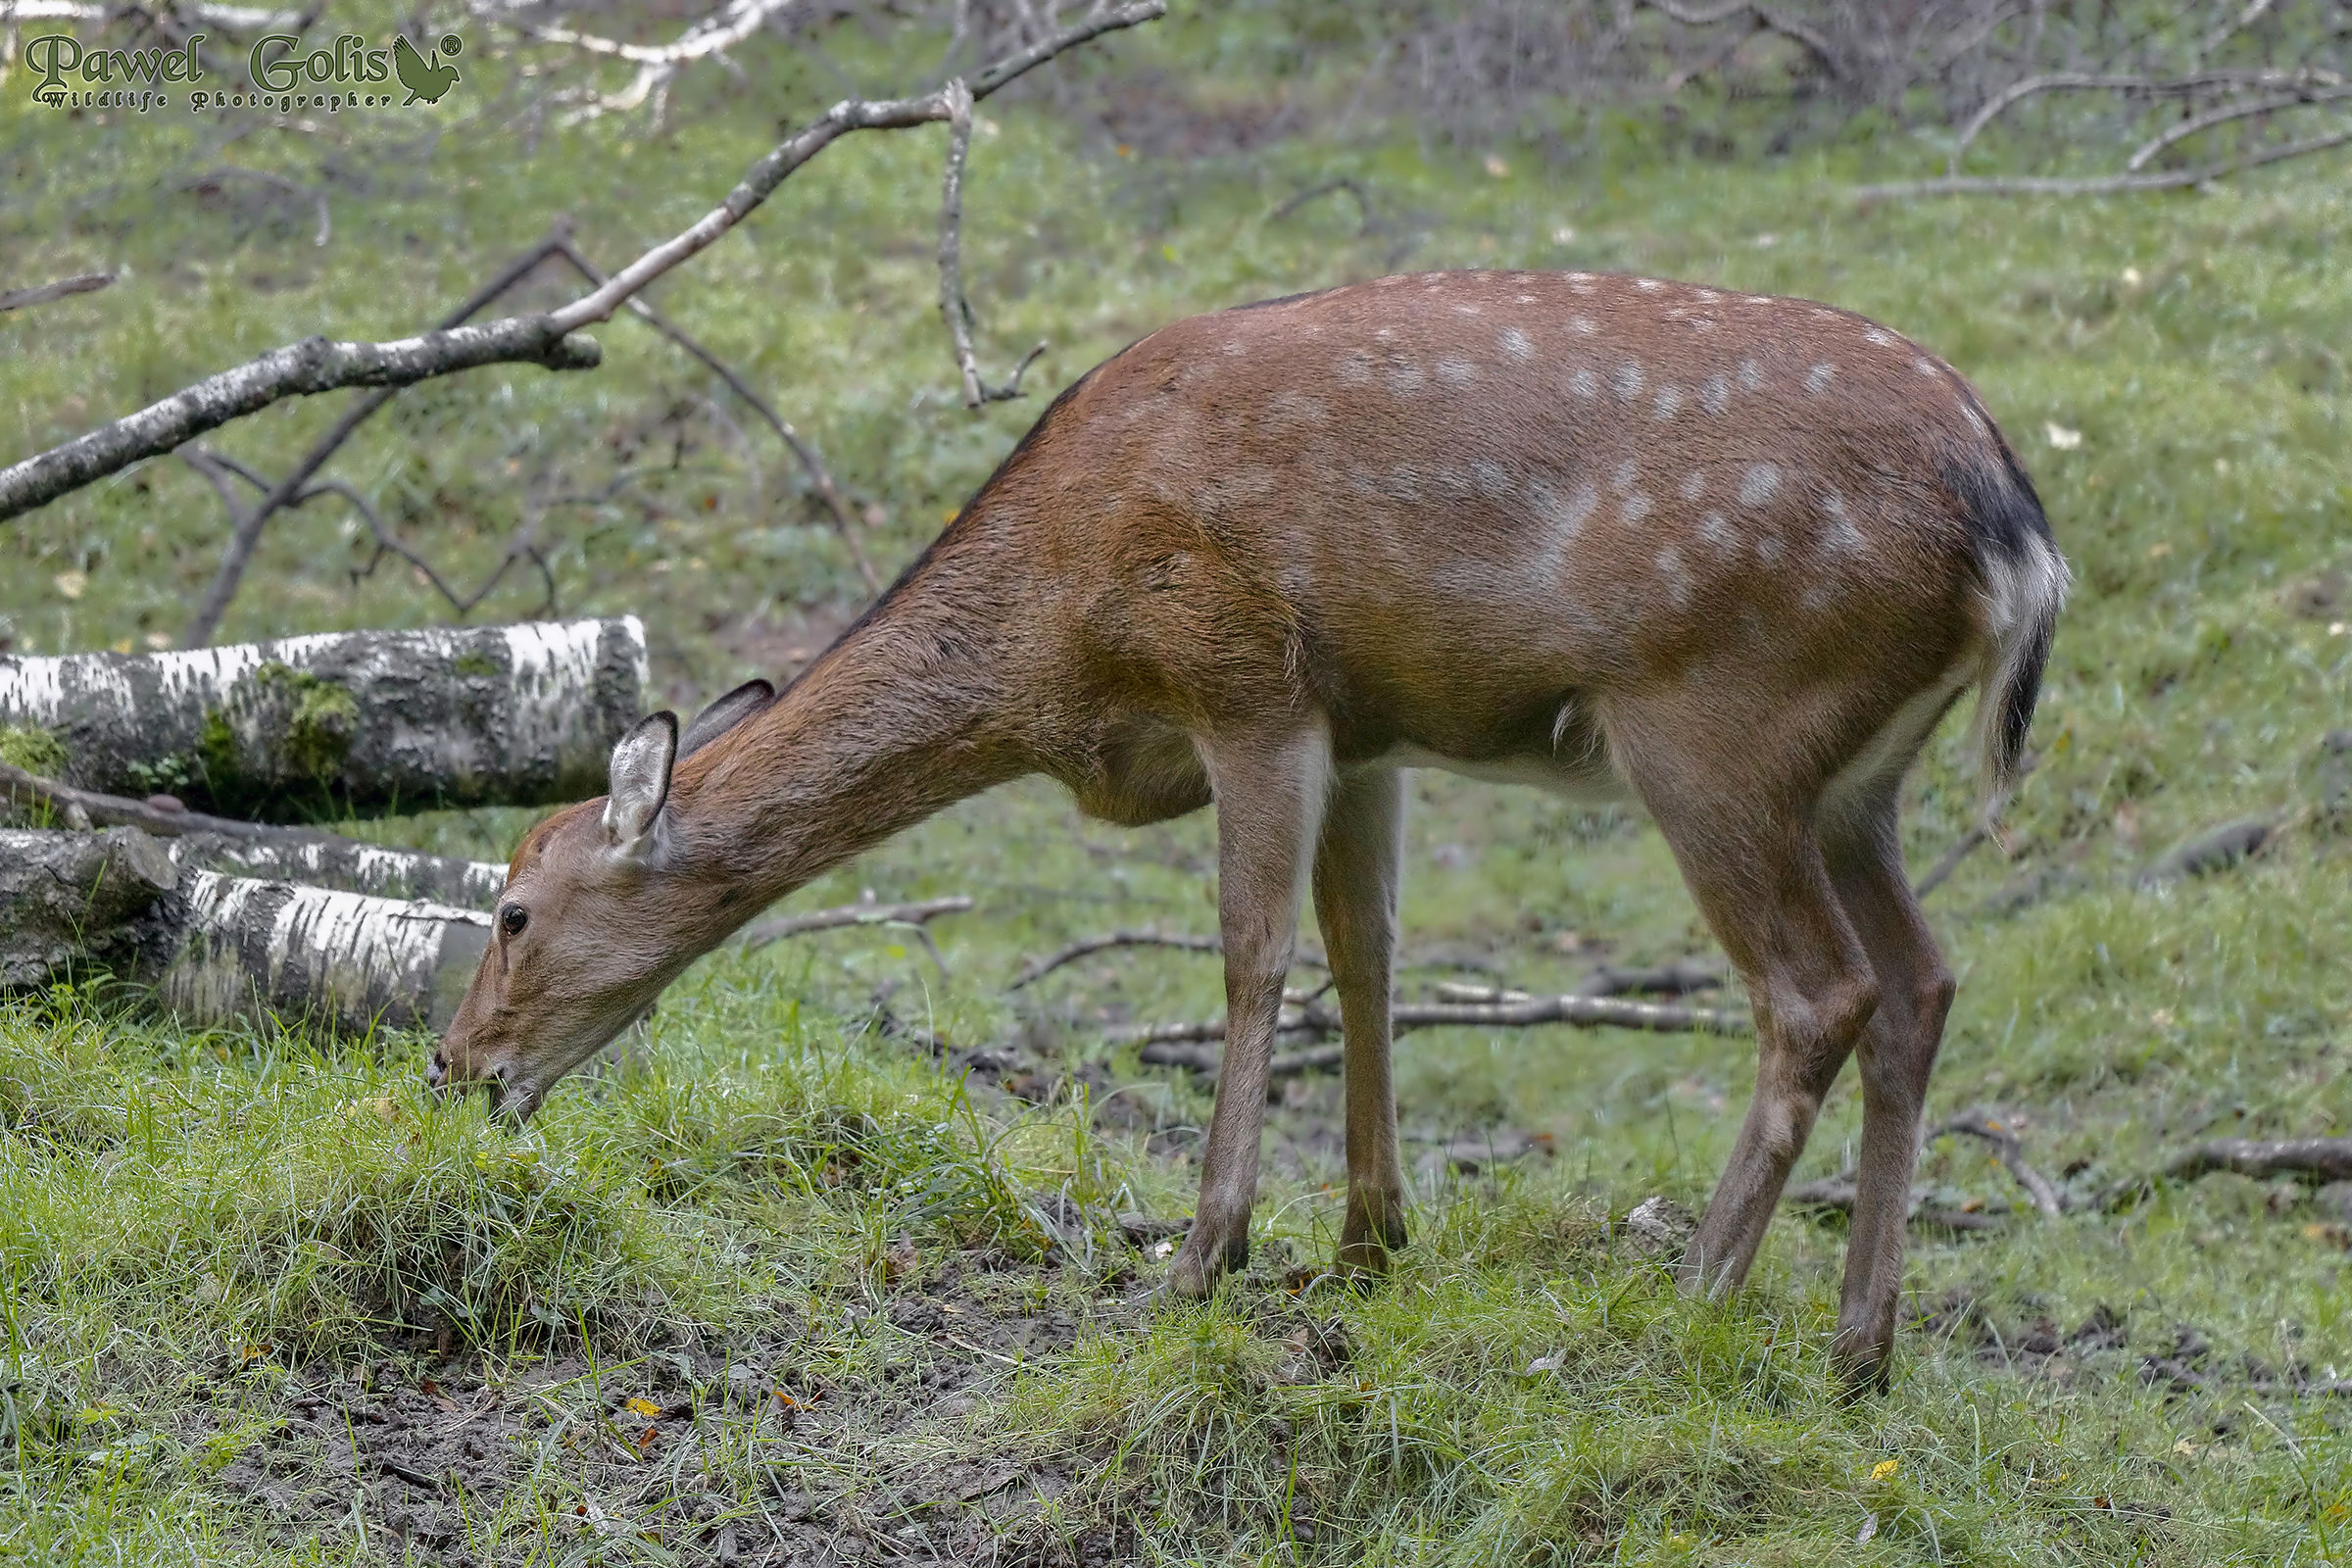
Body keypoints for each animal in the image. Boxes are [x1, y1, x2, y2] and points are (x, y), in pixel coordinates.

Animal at [429, 268, 2065, 1387]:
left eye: (511, 909)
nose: (453, 1068)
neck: (1058, 642)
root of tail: (2021, 537)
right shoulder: (1370, 725)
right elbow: (1368, 951)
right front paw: (1368, 1245)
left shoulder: (1247, 682)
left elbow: (1250, 953)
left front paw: (1201, 1256)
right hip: (1854, 780)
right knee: (1924, 983)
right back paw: (1860, 1348)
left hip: (1713, 720)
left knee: (1819, 991)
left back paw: (1685, 1304)